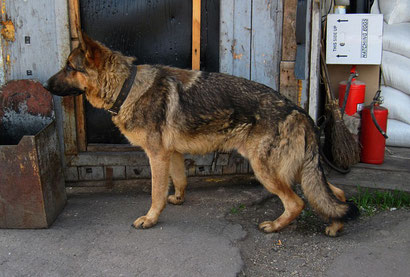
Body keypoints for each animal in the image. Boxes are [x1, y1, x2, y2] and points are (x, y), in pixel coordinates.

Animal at [46, 32, 358, 235]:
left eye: (69, 67)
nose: (45, 85)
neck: (127, 86)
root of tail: (300, 112)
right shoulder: (171, 154)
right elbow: (180, 180)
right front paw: (178, 199)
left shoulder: (156, 156)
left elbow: (156, 192)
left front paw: (151, 218)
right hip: (297, 172)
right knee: (335, 194)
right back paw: (336, 225)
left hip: (266, 170)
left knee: (298, 202)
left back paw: (275, 226)